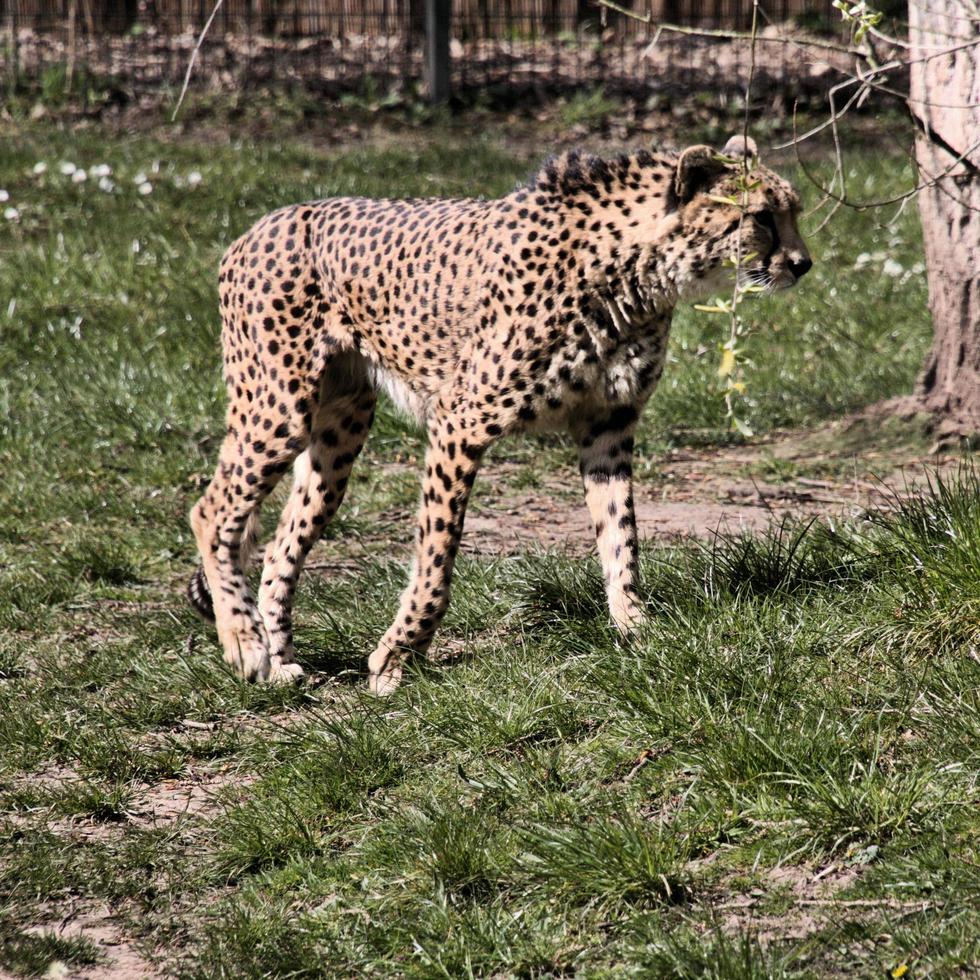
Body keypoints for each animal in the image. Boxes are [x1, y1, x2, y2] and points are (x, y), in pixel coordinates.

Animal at [186, 134, 812, 692]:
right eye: (761, 217)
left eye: (794, 212)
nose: (803, 264)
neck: (638, 267)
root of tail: (265, 222)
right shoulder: (458, 422)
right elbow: (437, 556)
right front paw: (398, 657)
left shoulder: (608, 424)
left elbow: (621, 535)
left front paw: (637, 628)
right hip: (279, 408)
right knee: (211, 512)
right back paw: (245, 644)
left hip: (339, 430)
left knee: (282, 541)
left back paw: (279, 660)